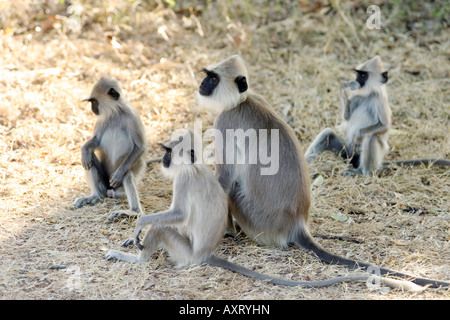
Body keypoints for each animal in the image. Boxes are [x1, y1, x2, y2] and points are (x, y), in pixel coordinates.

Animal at [74, 77, 147, 221]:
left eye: (94, 102)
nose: (93, 109)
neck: (116, 113)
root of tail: (110, 191)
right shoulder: (102, 119)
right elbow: (96, 141)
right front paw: (83, 150)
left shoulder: (132, 116)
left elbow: (140, 146)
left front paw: (118, 175)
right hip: (104, 184)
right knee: (89, 158)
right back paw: (95, 195)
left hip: (120, 189)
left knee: (127, 174)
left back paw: (133, 211)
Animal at [104, 131, 422, 290]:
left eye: (171, 152)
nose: (165, 160)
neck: (192, 167)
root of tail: (204, 254)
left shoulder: (183, 180)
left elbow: (178, 215)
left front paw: (139, 225)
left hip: (185, 254)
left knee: (162, 230)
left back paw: (134, 258)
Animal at [304, 56, 448, 174]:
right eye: (358, 74)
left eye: (363, 75)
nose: (356, 80)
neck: (369, 94)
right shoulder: (356, 96)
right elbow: (346, 118)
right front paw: (344, 87)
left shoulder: (380, 99)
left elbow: (384, 126)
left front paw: (359, 135)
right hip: (348, 154)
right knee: (327, 134)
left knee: (372, 137)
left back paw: (363, 172)